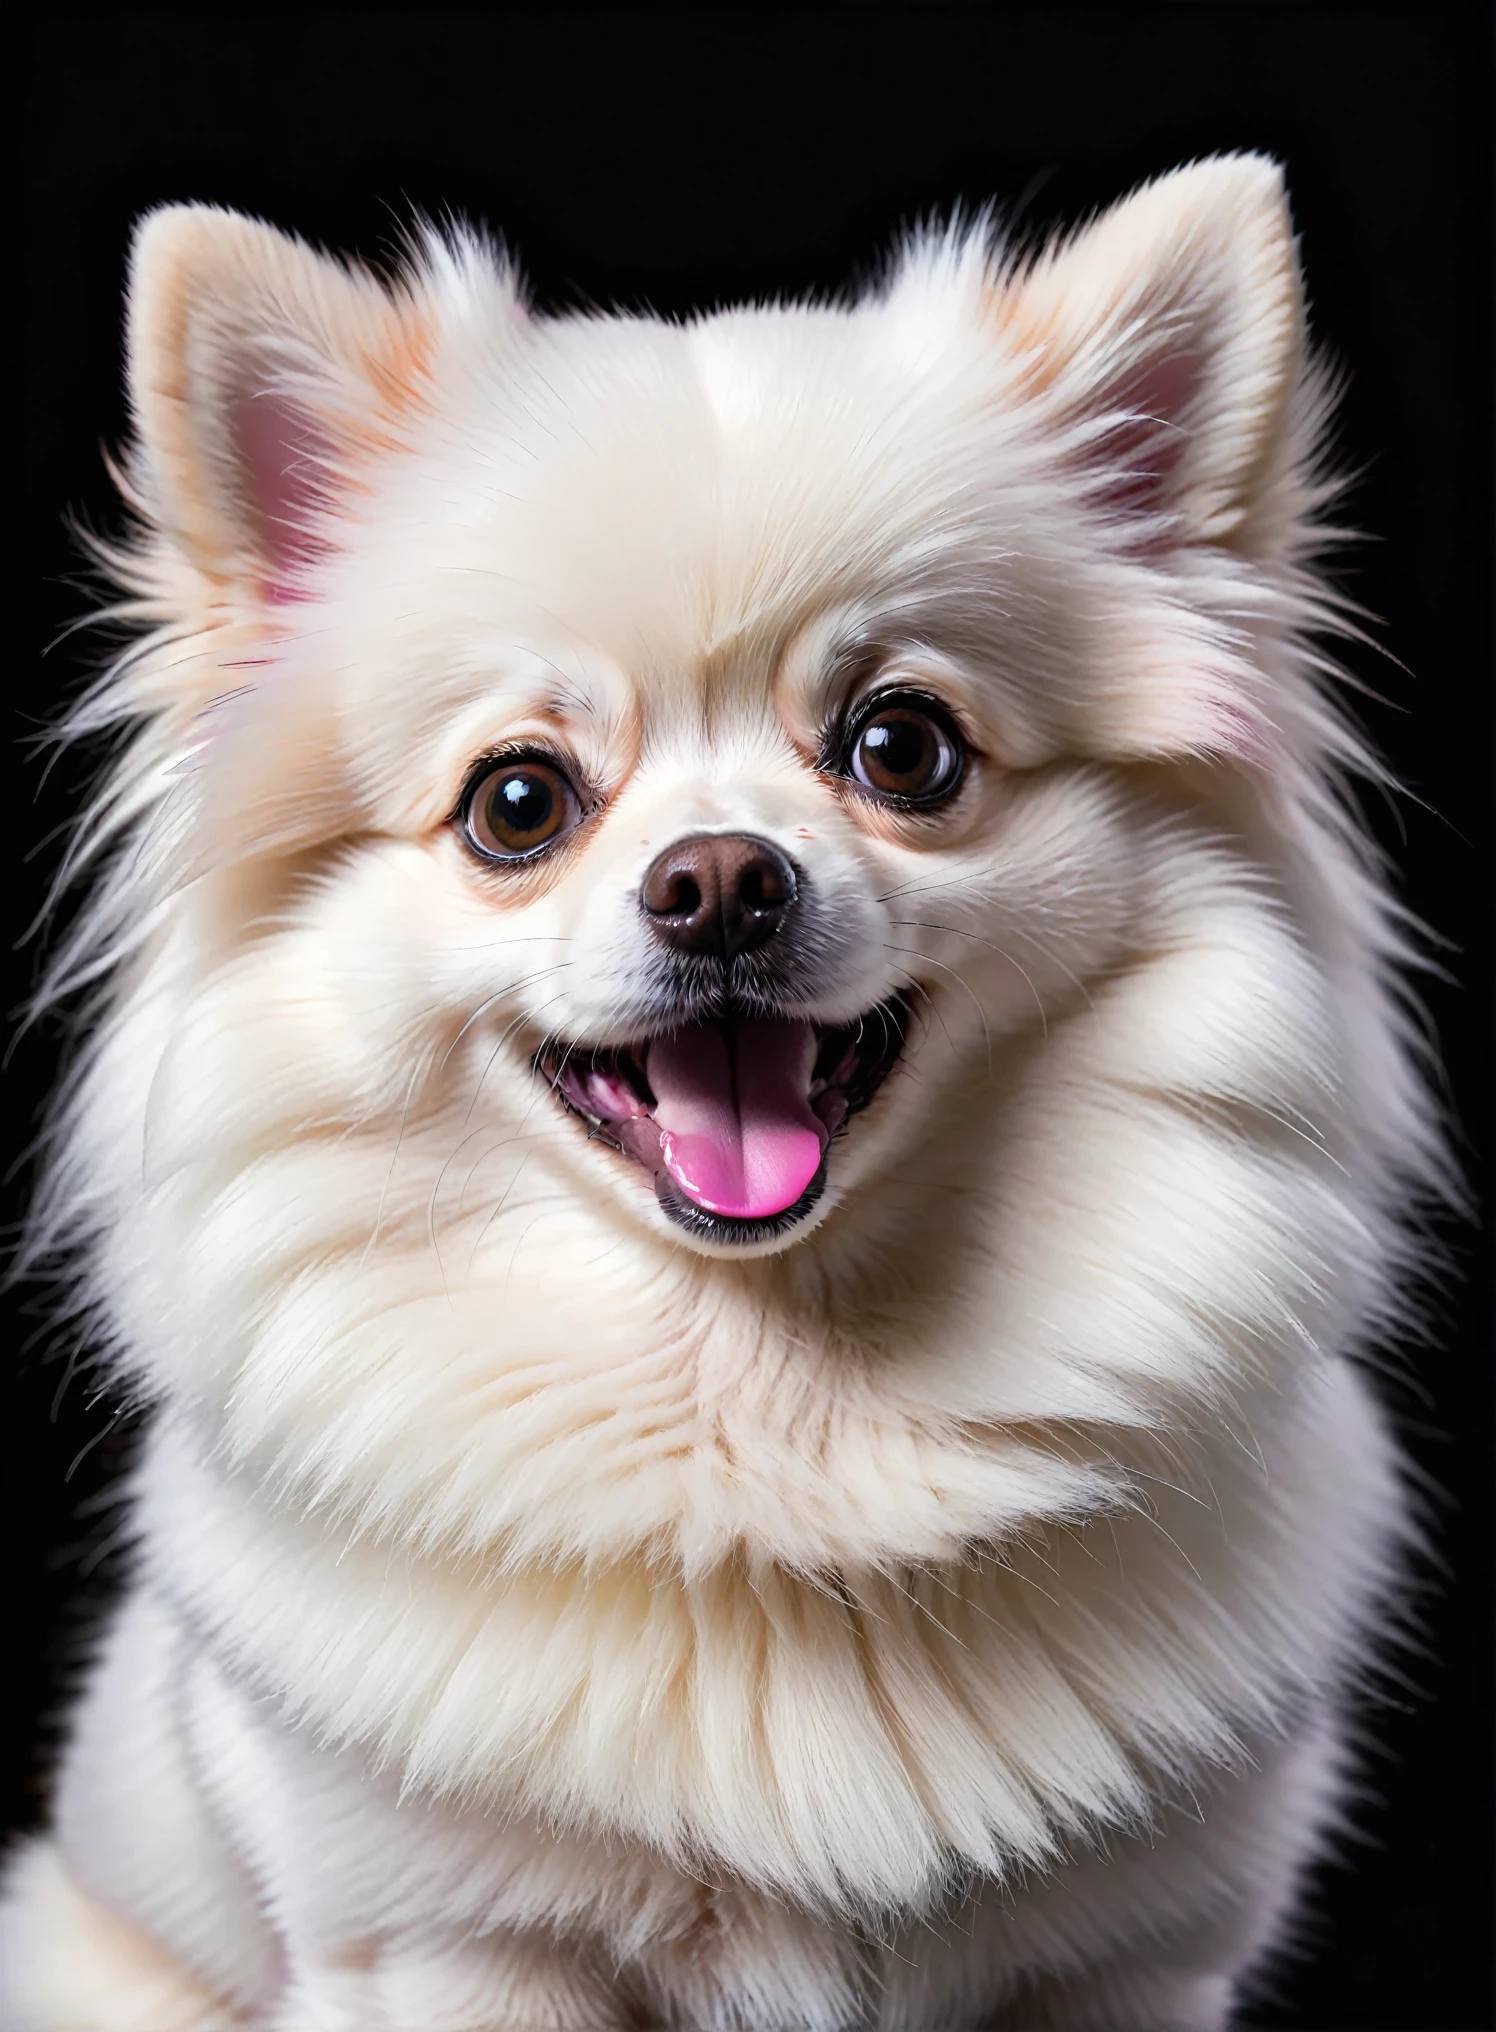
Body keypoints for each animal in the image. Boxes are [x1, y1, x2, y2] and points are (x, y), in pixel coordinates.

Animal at [2, 158, 1447, 2032]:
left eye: (903, 747)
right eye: (518, 803)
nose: (718, 884)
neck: (773, 1415)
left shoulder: (1126, 1962)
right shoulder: (452, 1950)